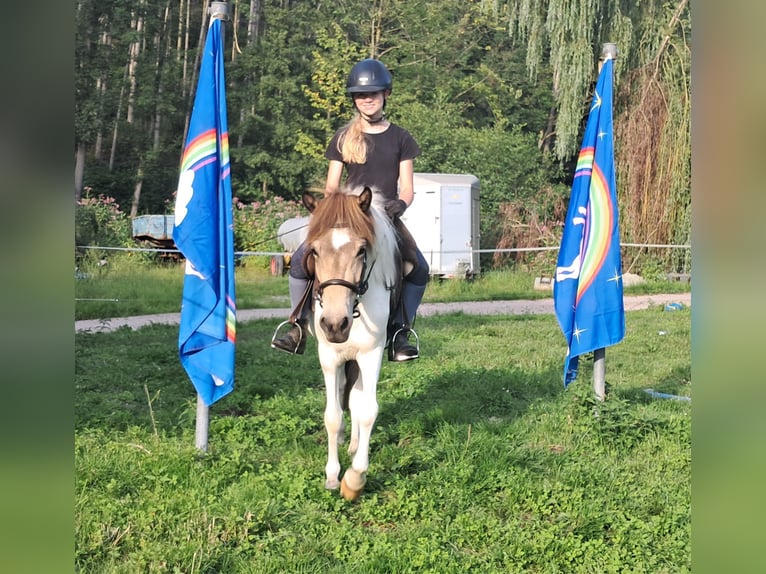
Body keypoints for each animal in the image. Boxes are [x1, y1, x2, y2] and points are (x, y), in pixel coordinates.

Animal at [301, 186, 401, 501]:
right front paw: (333, 476)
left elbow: (368, 410)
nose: (335, 324)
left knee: (356, 397)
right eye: (314, 251)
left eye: (361, 250)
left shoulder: (370, 354)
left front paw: (355, 479)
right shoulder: (329, 356)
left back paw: (356, 445)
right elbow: (332, 416)